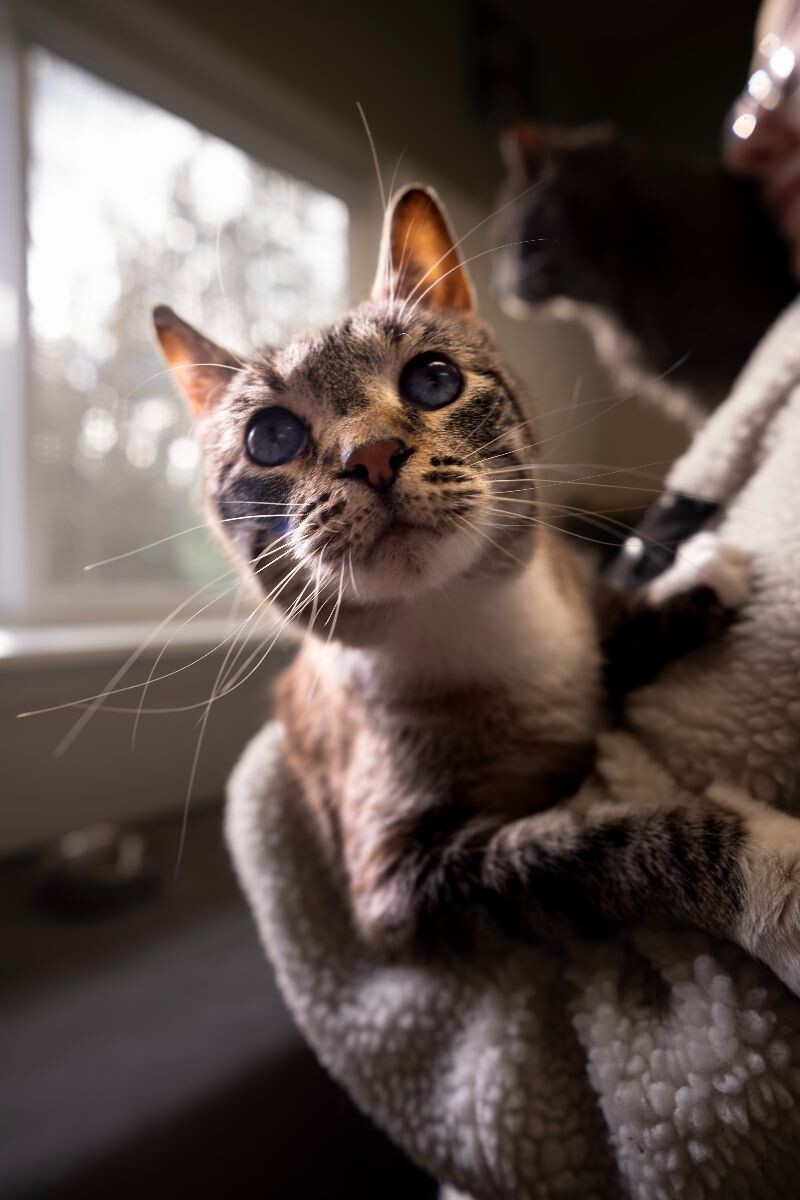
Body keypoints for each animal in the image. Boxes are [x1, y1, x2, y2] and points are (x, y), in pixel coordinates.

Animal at [151, 189, 800, 993]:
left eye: (432, 379)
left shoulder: (576, 632)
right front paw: (778, 877)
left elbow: (613, 629)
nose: (371, 454)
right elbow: (625, 841)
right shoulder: (406, 880)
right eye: (271, 437)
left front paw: (692, 576)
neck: (476, 625)